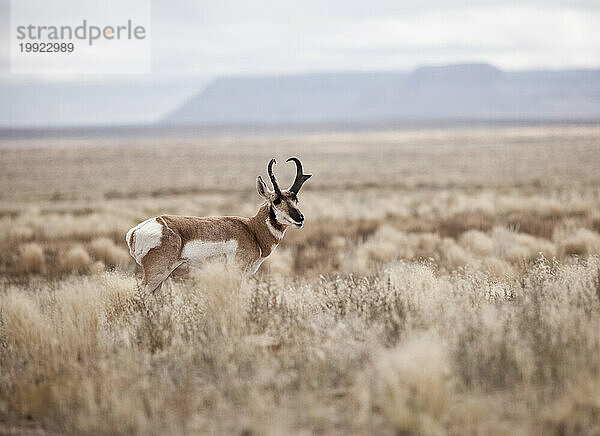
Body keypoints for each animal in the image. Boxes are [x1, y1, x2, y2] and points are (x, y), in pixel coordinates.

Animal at [125, 158, 312, 296]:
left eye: (295, 199)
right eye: (277, 200)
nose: (300, 218)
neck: (252, 230)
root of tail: (135, 231)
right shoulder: (237, 274)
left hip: (161, 279)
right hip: (156, 274)